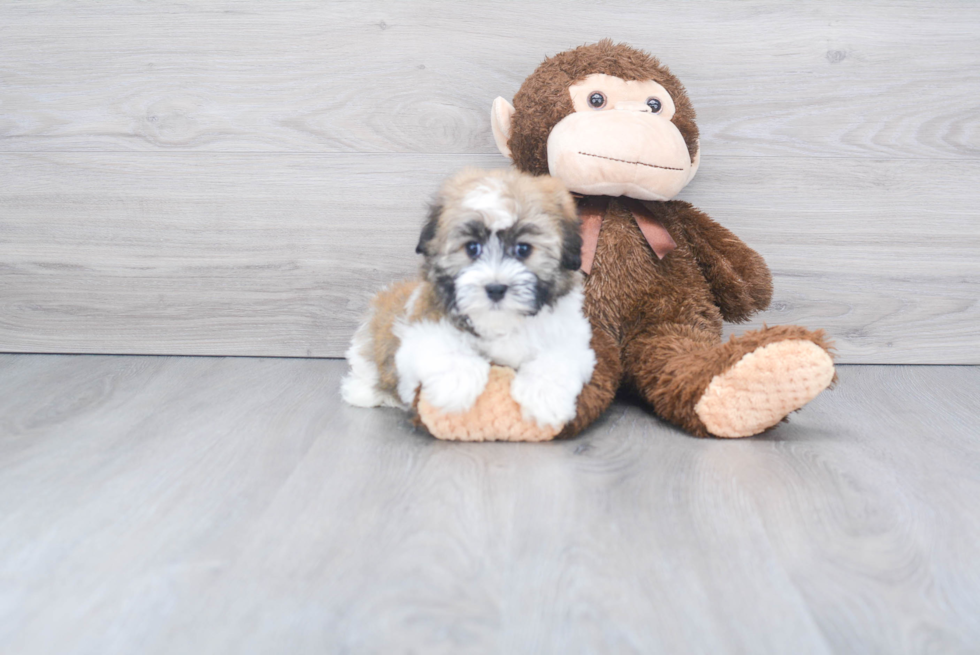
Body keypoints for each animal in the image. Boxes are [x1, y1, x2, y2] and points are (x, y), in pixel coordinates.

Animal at [340, 167, 592, 428]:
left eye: (523, 249)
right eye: (472, 248)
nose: (495, 288)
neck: (500, 323)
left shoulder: (572, 338)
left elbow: (557, 359)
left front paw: (544, 397)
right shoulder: (420, 326)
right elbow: (442, 345)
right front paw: (456, 384)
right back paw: (365, 390)